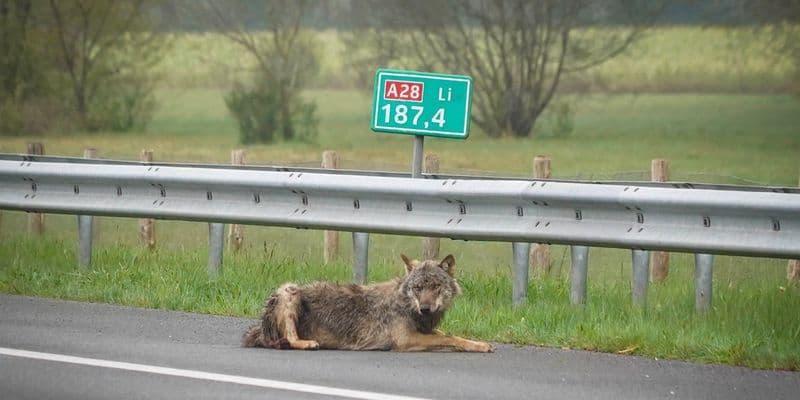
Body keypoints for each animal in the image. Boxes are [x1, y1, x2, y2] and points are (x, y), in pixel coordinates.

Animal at [242, 254, 494, 352]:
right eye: (418, 288)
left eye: (435, 287)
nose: (425, 308)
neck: (406, 304)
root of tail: (257, 331)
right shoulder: (406, 341)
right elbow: (448, 339)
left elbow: (452, 336)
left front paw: (480, 344)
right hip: (289, 290)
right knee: (291, 338)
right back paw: (309, 343)